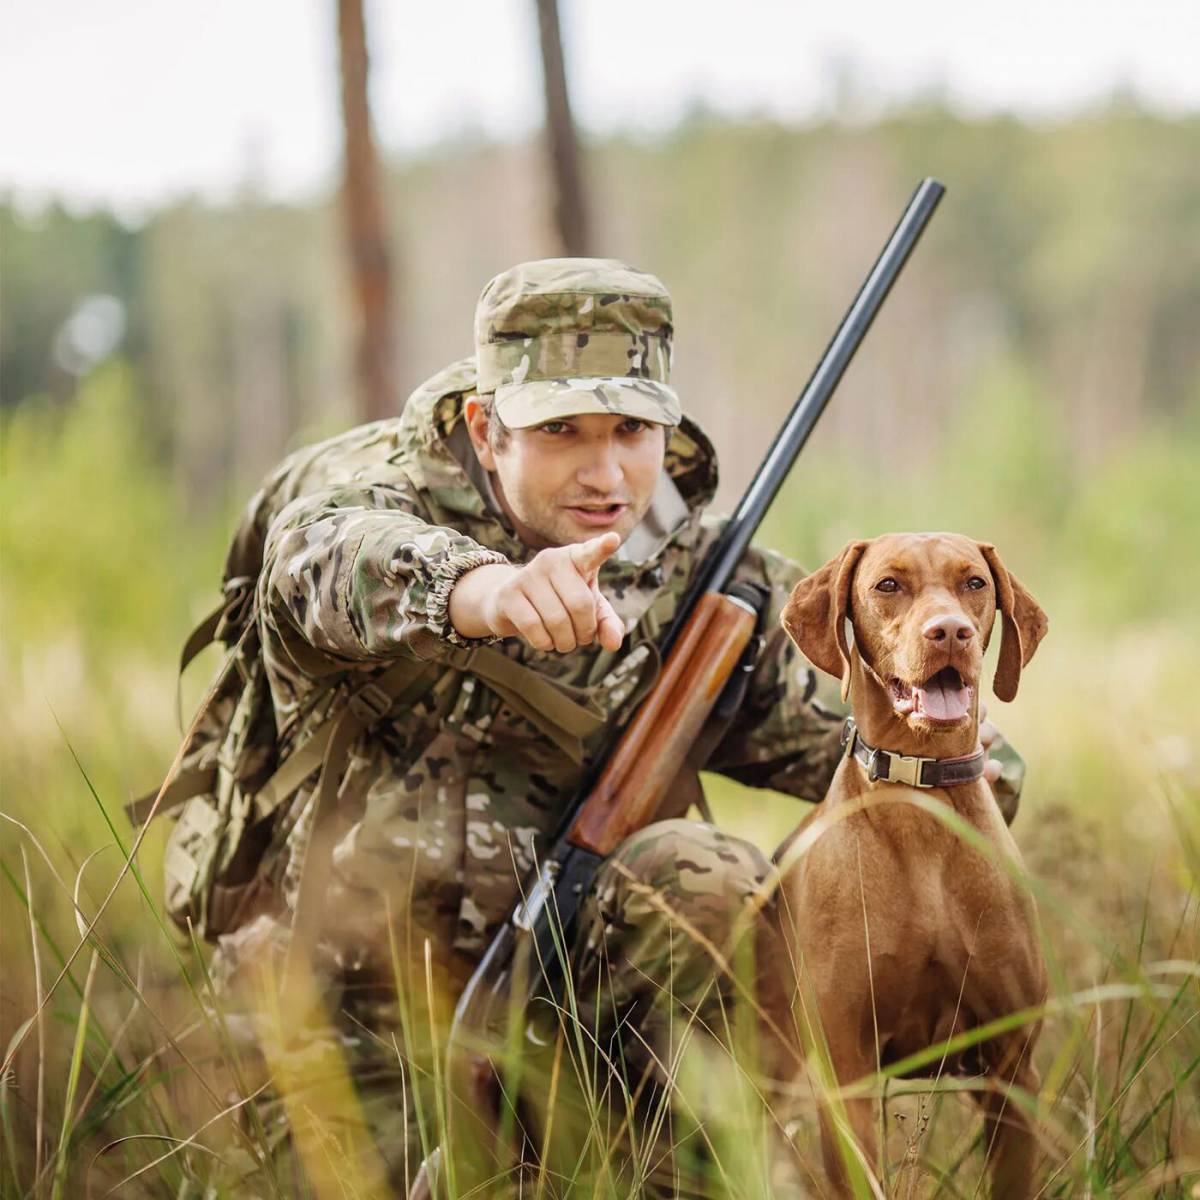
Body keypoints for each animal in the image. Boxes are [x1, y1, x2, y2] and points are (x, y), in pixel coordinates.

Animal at [772, 537, 1046, 1200]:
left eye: (975, 583)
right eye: (888, 585)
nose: (949, 632)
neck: (921, 798)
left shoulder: (1011, 1070)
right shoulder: (844, 1072)